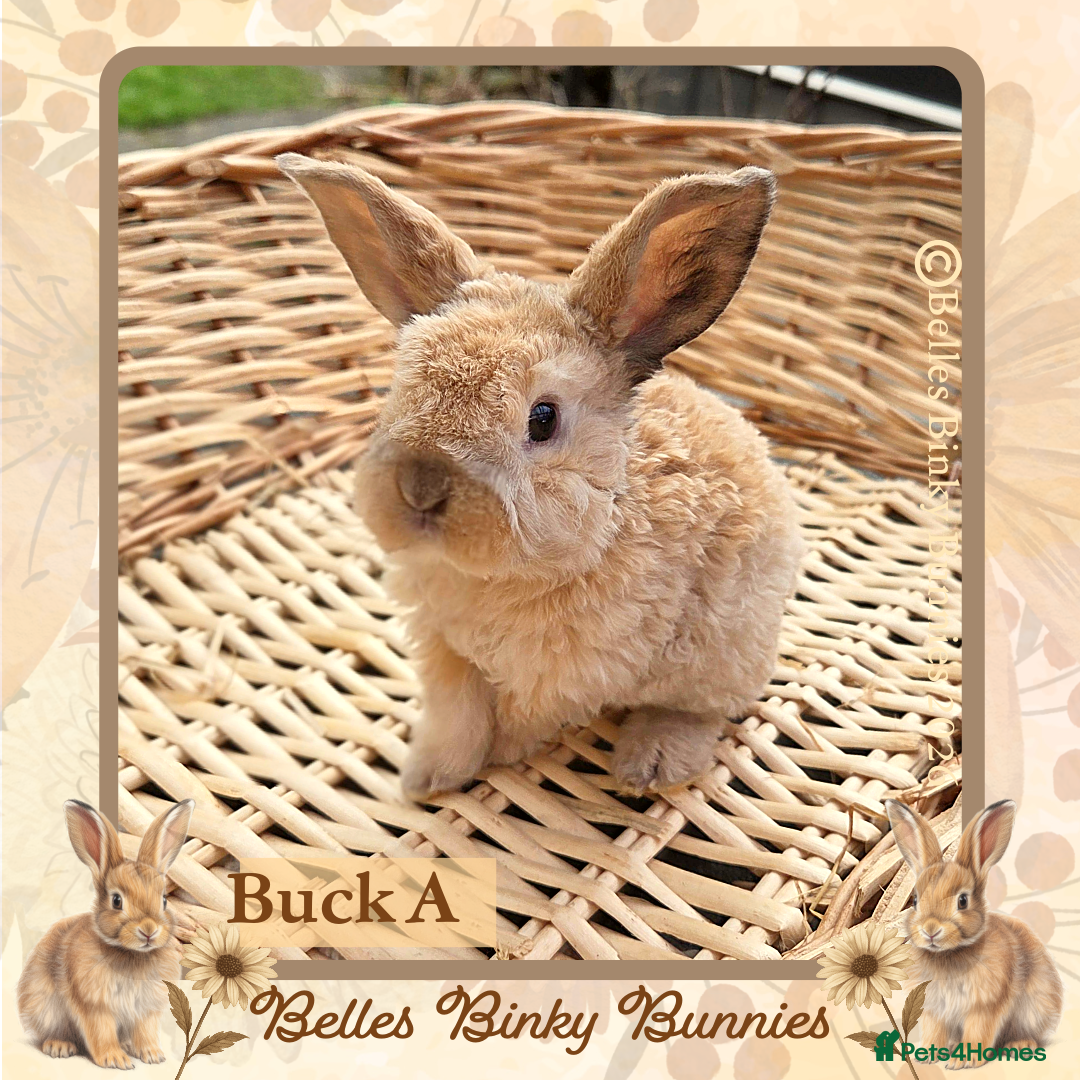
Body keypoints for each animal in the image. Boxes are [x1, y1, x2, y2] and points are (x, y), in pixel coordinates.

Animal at [17, 799, 195, 1068]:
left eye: (164, 900)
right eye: (117, 901)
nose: (149, 930)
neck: (132, 954)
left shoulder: (145, 1009)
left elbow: (145, 1031)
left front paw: (153, 1055)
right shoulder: (95, 1005)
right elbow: (101, 1031)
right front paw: (116, 1060)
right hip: (46, 1008)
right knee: (53, 1032)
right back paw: (59, 1046)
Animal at [277, 152, 803, 800]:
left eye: (543, 418)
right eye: (400, 388)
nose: (421, 489)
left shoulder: (568, 675)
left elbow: (521, 723)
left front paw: (490, 759)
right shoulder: (448, 653)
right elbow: (458, 718)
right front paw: (429, 776)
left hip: (721, 652)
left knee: (701, 708)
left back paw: (650, 765)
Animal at [885, 798, 1063, 1066]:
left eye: (962, 901)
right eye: (915, 900)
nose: (930, 930)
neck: (949, 954)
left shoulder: (984, 1006)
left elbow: (978, 1031)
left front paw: (963, 1061)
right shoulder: (935, 1010)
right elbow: (934, 1031)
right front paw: (926, 1056)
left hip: (1033, 1010)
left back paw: (1019, 1045)